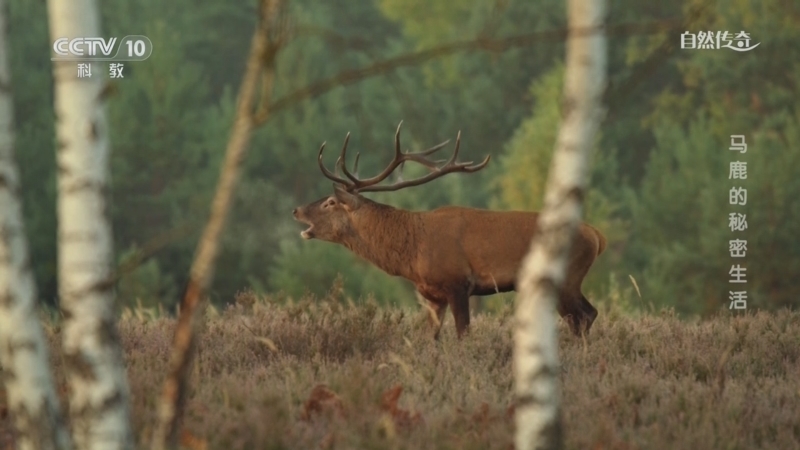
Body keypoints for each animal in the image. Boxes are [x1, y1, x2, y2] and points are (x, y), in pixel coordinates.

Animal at [292, 122, 607, 340]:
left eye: (330, 202)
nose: (296, 210)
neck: (411, 253)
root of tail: (596, 235)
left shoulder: (458, 283)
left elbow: (462, 334)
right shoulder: (432, 296)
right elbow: (430, 339)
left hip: (566, 277)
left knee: (583, 316)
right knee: (586, 314)